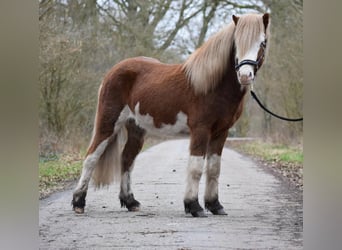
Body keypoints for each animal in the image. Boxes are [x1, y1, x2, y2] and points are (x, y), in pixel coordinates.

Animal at [71, 13, 270, 217]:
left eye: (263, 42)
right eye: (236, 43)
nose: (245, 76)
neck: (212, 86)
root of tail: (113, 71)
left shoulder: (221, 132)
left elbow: (214, 168)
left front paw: (215, 205)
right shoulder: (200, 130)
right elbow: (196, 168)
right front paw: (194, 206)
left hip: (136, 128)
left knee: (127, 159)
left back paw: (130, 201)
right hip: (108, 123)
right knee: (91, 157)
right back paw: (79, 202)